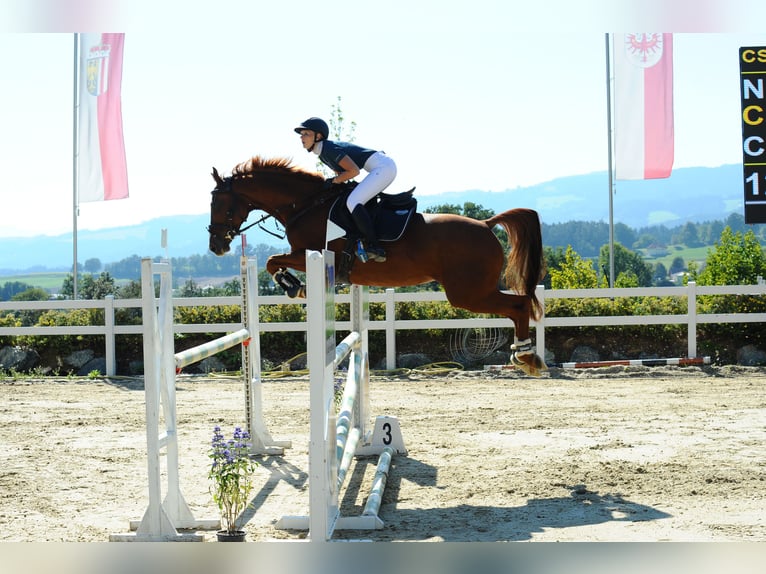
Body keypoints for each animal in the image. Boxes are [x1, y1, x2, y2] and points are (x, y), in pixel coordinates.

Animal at [208, 156, 547, 376]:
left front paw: (293, 286)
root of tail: (487, 224)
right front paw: (293, 285)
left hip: (467, 293)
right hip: (471, 291)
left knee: (519, 305)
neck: (305, 205)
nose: (216, 246)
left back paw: (527, 357)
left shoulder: (316, 253)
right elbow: (272, 262)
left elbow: (271, 261)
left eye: (219, 204)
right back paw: (527, 357)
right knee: (519, 305)